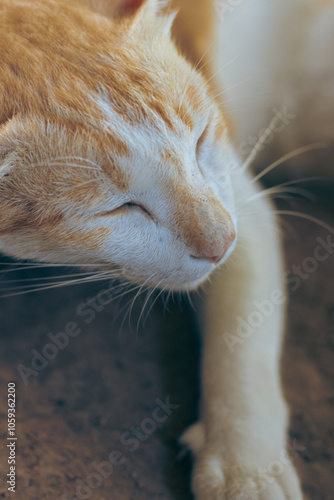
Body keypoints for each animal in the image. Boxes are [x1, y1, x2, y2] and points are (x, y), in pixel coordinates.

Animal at [0, 0, 310, 498]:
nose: (221, 242)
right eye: (117, 208)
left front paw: (247, 467)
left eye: (201, 140)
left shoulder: (240, 205)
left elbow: (244, 340)